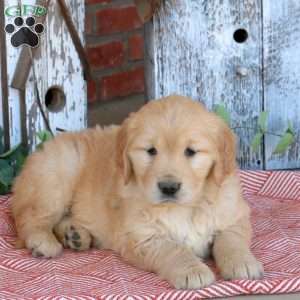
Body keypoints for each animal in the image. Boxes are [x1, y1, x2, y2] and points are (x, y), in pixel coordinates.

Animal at [11, 95, 262, 288]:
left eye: (190, 151)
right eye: (151, 151)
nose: (168, 187)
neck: (183, 207)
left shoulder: (233, 215)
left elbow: (231, 240)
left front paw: (242, 263)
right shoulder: (142, 236)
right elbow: (173, 249)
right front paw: (192, 270)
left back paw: (75, 235)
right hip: (57, 176)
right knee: (27, 216)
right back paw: (42, 242)